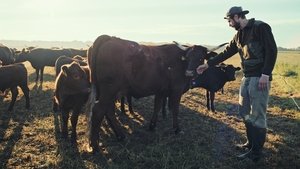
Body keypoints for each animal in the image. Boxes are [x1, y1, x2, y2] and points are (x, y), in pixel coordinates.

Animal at [85, 34, 226, 152]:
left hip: (109, 91)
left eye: (201, 58)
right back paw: (95, 146)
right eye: (188, 57)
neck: (181, 63)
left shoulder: (161, 91)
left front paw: (152, 126)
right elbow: (175, 109)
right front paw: (176, 129)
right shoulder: (176, 90)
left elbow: (157, 107)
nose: (189, 73)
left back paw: (120, 135)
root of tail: (109, 38)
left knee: (108, 111)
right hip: (110, 90)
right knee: (98, 110)